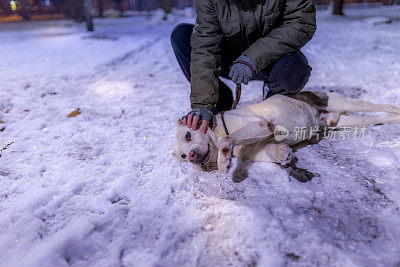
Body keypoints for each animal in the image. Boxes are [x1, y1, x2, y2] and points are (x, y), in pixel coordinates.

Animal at [173, 92, 400, 174]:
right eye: (182, 156)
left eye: (188, 135)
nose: (191, 157)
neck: (217, 129)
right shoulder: (257, 147)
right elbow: (270, 150)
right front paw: (283, 154)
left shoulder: (261, 125)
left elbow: (227, 140)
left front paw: (223, 160)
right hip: (350, 121)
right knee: (379, 117)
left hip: (344, 102)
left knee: (382, 106)